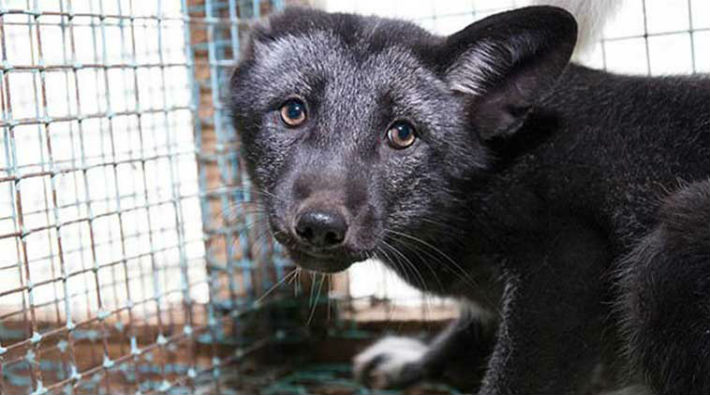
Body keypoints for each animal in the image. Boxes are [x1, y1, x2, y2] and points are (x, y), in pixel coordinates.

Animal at [229, 3, 710, 395]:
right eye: (294, 111)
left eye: (402, 134)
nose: (320, 226)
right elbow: (465, 330)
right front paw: (416, 359)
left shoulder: (566, 265)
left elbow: (514, 378)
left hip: (669, 248)